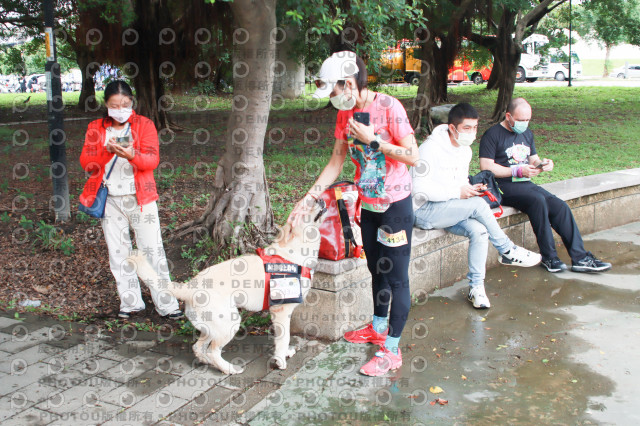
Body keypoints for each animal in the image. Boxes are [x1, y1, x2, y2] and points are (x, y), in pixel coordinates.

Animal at [131, 198, 330, 374]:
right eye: (305, 208)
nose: (320, 199)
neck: (295, 250)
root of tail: (190, 286)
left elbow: (284, 339)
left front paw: (286, 353)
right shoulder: (281, 311)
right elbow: (284, 338)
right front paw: (280, 360)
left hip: (212, 327)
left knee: (198, 347)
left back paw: (207, 361)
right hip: (230, 323)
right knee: (213, 351)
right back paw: (229, 369)